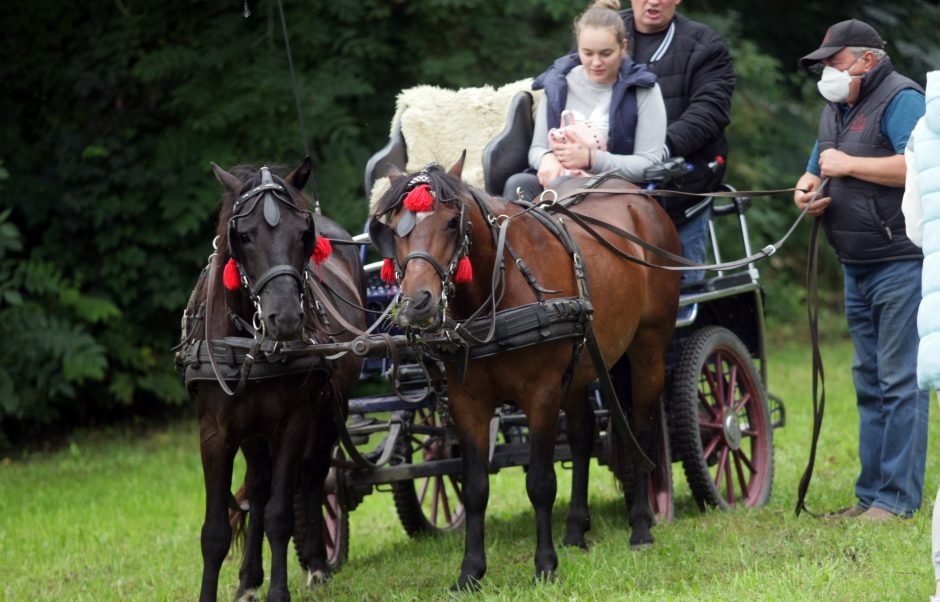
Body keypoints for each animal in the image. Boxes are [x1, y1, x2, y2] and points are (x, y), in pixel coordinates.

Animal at [178, 159, 366, 600]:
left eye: (303, 234)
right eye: (244, 235)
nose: (286, 319)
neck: (252, 343)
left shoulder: (294, 422)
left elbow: (282, 513)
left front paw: (280, 591)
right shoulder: (216, 432)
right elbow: (215, 531)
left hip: (329, 410)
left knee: (312, 478)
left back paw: (317, 563)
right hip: (253, 432)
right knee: (259, 488)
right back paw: (249, 579)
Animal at [370, 157, 684, 588]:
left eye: (452, 222)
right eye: (395, 226)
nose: (417, 303)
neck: (496, 295)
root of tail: (640, 198)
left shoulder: (542, 394)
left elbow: (540, 482)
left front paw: (545, 565)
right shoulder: (467, 402)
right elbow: (475, 487)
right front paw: (470, 571)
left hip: (648, 349)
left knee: (640, 429)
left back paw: (640, 526)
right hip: (582, 363)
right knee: (584, 437)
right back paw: (575, 530)